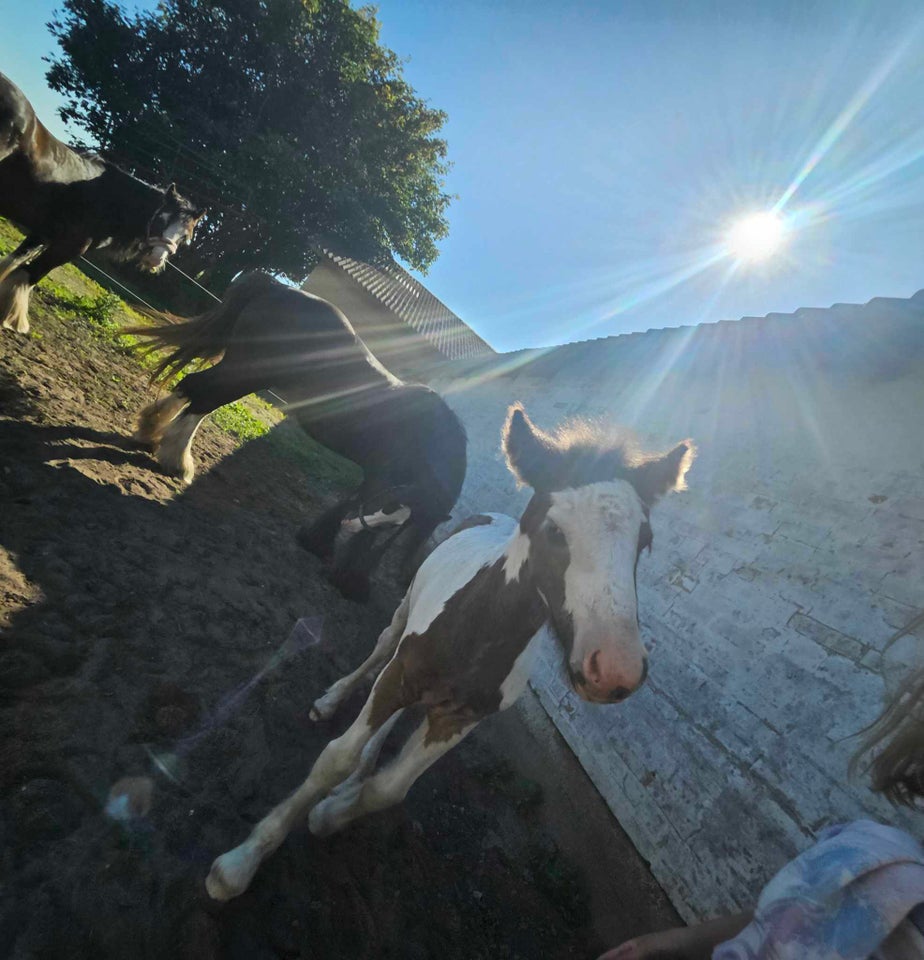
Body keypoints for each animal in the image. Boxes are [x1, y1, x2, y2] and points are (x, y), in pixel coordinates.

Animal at [0, 72, 203, 334]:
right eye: (161, 219)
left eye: (185, 237)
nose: (156, 259)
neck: (110, 201)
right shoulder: (69, 247)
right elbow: (29, 274)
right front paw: (15, 321)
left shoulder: (42, 235)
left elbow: (13, 261)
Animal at [128, 272, 470, 600]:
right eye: (387, 506)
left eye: (399, 520)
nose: (350, 526)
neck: (426, 435)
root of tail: (278, 288)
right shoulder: (382, 480)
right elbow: (356, 521)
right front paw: (342, 571)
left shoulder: (380, 482)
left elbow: (357, 514)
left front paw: (326, 552)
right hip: (246, 373)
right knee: (202, 396)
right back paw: (177, 461)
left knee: (193, 388)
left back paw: (152, 432)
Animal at [202, 402, 692, 896]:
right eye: (554, 529)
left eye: (644, 540)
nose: (614, 669)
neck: (477, 638)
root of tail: (490, 516)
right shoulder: (401, 673)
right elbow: (335, 758)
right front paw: (240, 863)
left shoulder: (459, 720)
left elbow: (388, 789)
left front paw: (331, 812)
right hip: (404, 619)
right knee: (382, 650)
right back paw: (332, 700)